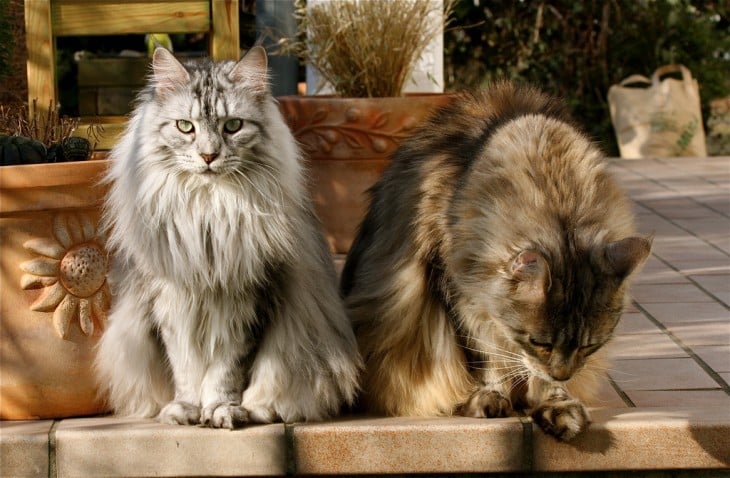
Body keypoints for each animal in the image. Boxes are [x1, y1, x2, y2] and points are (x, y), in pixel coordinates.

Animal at [94, 46, 362, 428]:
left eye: (232, 125)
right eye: (185, 127)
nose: (208, 155)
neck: (208, 211)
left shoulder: (249, 301)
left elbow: (226, 372)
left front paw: (222, 410)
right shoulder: (171, 302)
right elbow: (185, 369)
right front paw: (186, 409)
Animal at [338, 81, 652, 440]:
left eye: (590, 347)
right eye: (540, 342)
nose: (562, 375)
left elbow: (536, 375)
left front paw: (557, 404)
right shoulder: (456, 292)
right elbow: (485, 358)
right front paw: (491, 396)